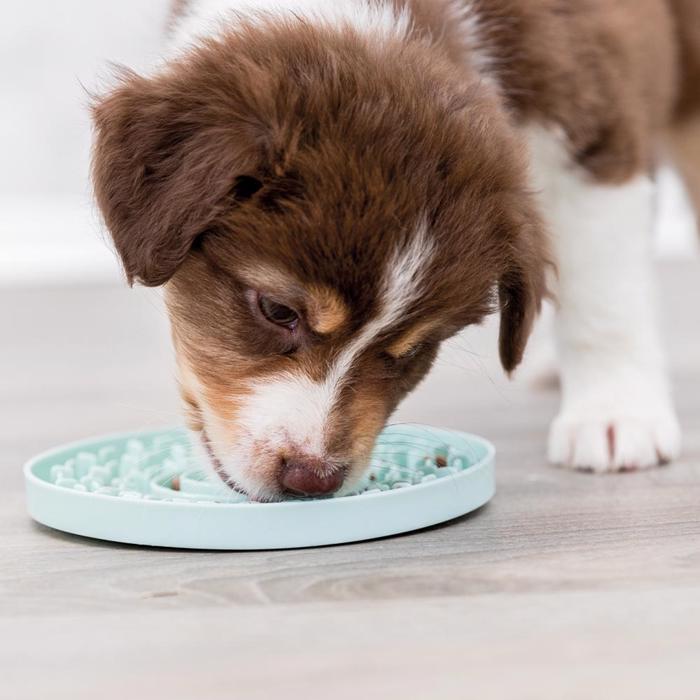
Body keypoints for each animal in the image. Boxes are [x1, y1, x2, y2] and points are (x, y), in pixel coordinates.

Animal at [90, 2, 696, 500]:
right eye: (278, 310)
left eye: (413, 350)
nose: (312, 479)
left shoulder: (591, 125)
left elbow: (605, 291)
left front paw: (618, 416)